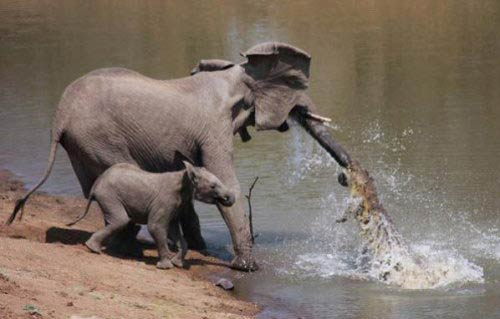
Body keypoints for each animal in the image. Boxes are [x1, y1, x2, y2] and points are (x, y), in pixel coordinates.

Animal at [67, 162, 236, 270]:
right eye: (213, 186)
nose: (228, 198)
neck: (185, 175)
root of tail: (96, 184)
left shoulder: (177, 204)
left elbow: (173, 231)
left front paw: (177, 264)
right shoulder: (165, 200)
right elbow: (156, 227)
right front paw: (166, 267)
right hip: (109, 195)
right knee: (121, 220)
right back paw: (93, 249)